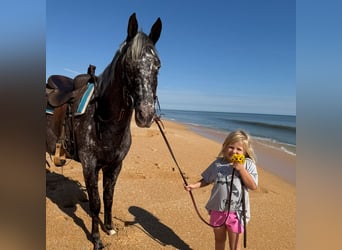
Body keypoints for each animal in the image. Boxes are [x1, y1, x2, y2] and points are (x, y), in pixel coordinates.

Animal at [45, 12, 162, 249]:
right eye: (128, 64)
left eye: (158, 66)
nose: (146, 114)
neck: (104, 119)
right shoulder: (90, 165)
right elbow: (95, 203)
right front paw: (97, 239)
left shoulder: (115, 165)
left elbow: (108, 198)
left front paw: (108, 227)